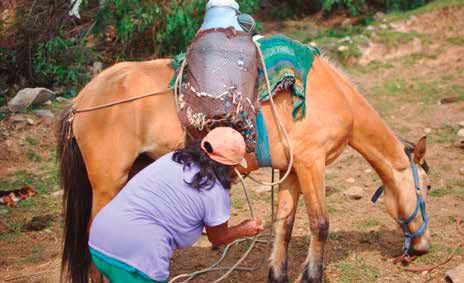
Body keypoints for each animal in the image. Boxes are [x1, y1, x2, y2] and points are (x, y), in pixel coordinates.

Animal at [57, 56, 432, 283]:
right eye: (426, 187)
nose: (423, 247)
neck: (331, 94)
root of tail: (83, 99)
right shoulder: (312, 164)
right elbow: (320, 224)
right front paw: (312, 275)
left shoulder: (292, 172)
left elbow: (284, 226)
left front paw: (278, 274)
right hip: (108, 182)